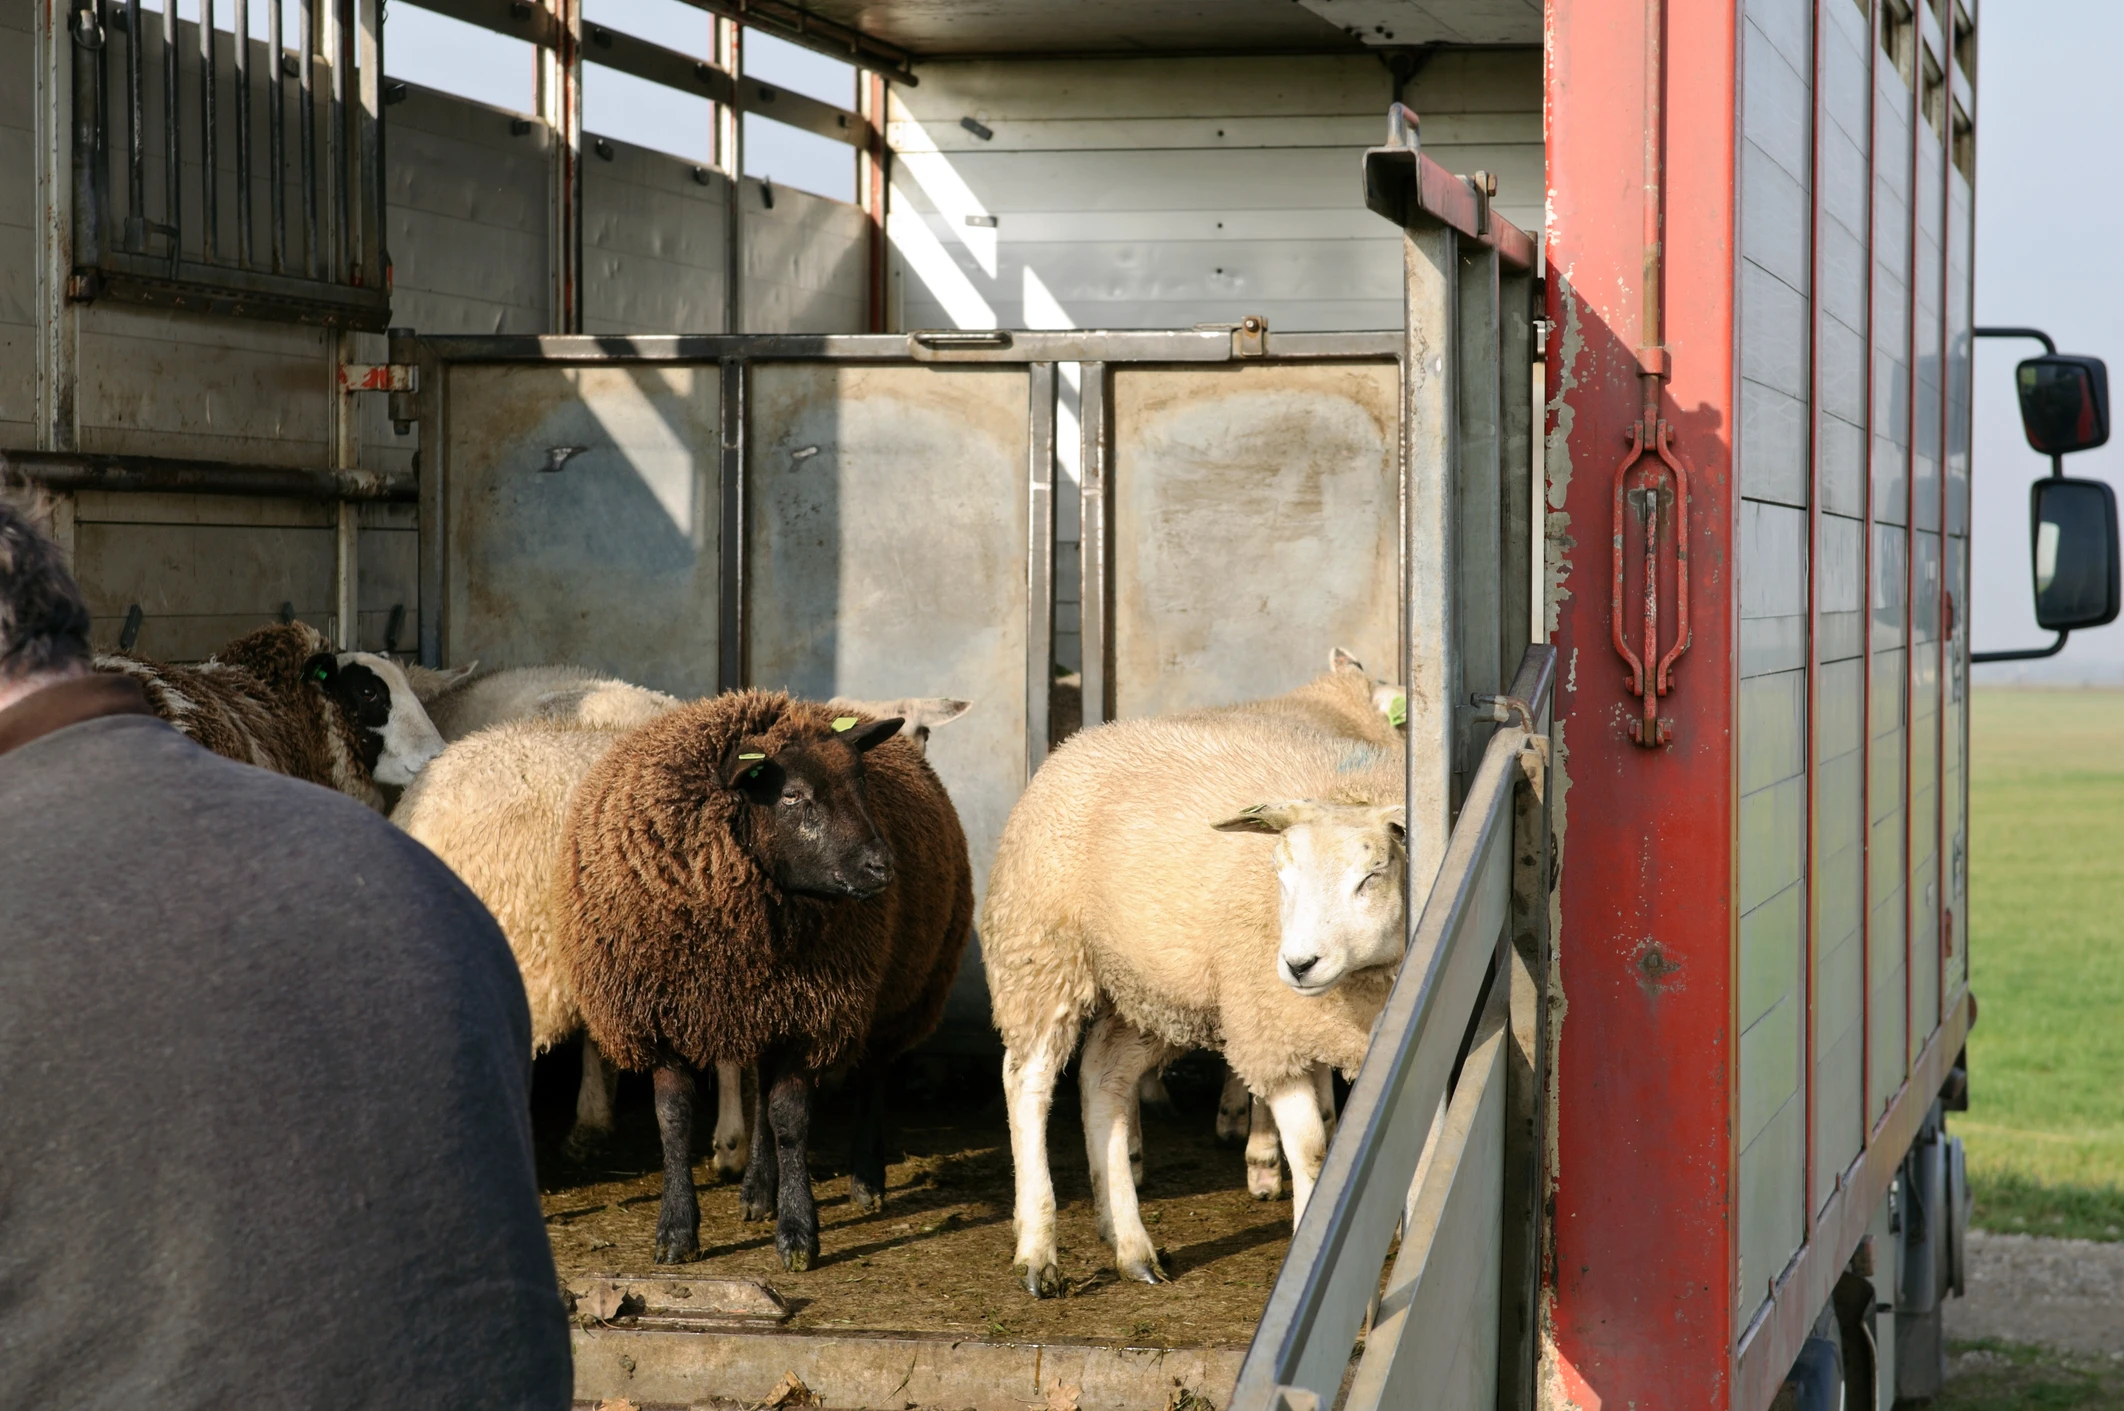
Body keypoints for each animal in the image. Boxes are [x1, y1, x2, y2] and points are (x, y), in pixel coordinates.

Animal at [558, 691, 974, 1270]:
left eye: (862, 785)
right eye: (793, 795)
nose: (882, 868)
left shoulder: (813, 1013)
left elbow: (790, 1119)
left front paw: (798, 1233)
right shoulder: (659, 1016)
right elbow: (675, 1118)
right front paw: (677, 1230)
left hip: (898, 993)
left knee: (872, 1075)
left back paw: (866, 1182)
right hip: (761, 1008)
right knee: (760, 1085)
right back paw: (757, 1190)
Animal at [982, 700, 1407, 1295]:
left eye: (1373, 874)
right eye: (1279, 873)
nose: (1298, 964)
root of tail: (1081, 740)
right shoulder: (1268, 1031)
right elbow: (1313, 1149)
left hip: (1151, 992)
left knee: (1101, 1077)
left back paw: (1131, 1245)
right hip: (1042, 952)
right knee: (1028, 1083)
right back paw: (1038, 1250)